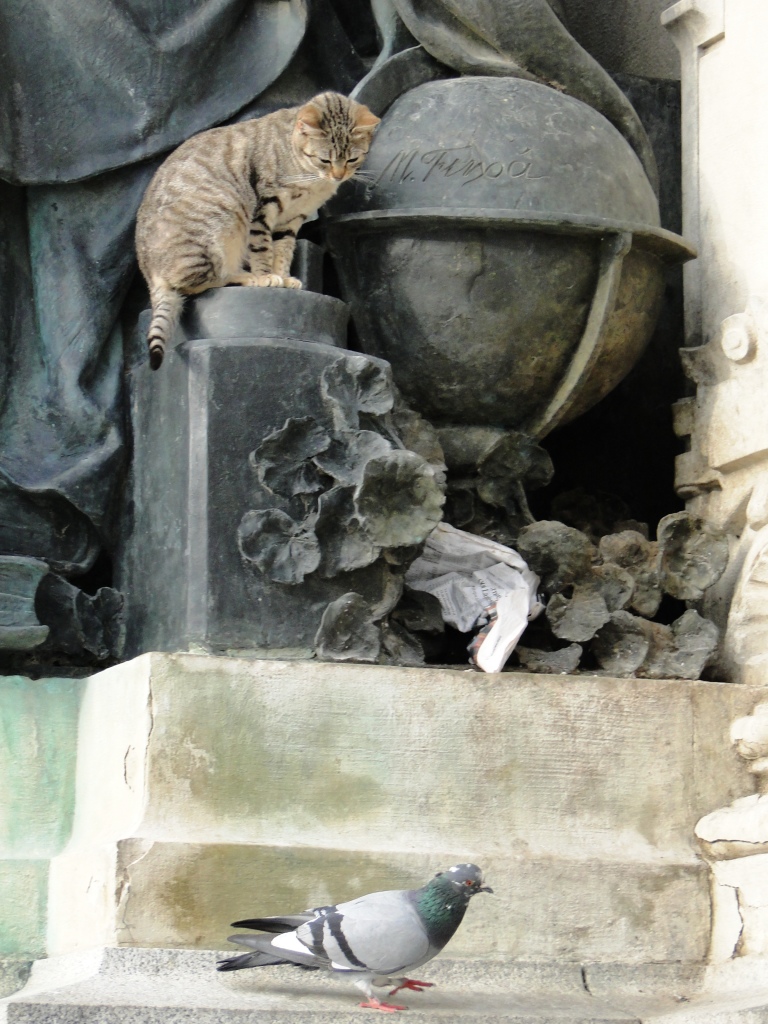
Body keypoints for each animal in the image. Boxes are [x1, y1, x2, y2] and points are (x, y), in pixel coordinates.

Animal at [137, 90, 382, 366]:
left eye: (352, 158)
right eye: (324, 159)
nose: (339, 176)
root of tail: (150, 275)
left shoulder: (291, 219)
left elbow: (284, 250)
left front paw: (284, 276)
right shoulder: (263, 206)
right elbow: (263, 248)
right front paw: (267, 276)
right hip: (222, 214)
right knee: (197, 282)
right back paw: (245, 276)